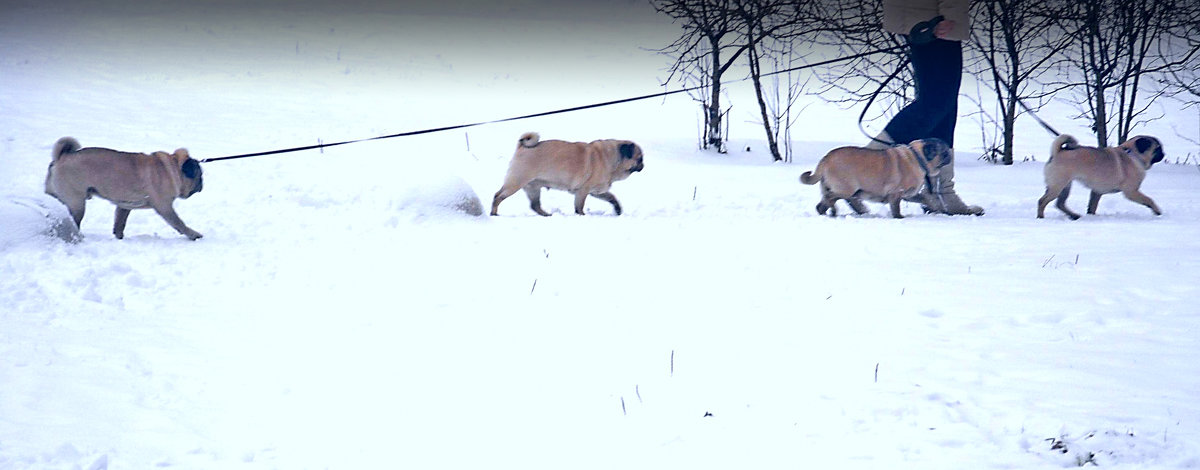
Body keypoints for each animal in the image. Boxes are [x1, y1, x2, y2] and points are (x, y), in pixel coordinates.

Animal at [43, 136, 204, 238]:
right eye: (199, 175)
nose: (202, 183)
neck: (173, 166)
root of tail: (61, 158)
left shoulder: (124, 207)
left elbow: (120, 224)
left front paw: (119, 237)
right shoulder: (165, 208)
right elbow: (179, 223)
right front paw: (193, 234)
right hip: (77, 204)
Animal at [487, 131, 643, 217]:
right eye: (640, 159)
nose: (643, 165)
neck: (612, 157)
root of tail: (522, 147)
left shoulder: (596, 191)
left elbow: (612, 198)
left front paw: (618, 209)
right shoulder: (583, 191)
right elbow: (579, 206)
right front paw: (581, 216)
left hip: (533, 188)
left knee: (535, 205)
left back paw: (546, 215)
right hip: (516, 182)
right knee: (498, 196)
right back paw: (494, 213)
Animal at [801, 137, 950, 218]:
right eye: (944, 152)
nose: (949, 154)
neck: (917, 157)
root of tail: (826, 158)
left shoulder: (908, 195)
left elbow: (925, 198)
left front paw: (936, 207)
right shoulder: (896, 194)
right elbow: (896, 208)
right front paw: (899, 217)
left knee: (822, 205)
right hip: (845, 189)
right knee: (830, 197)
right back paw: (834, 211)